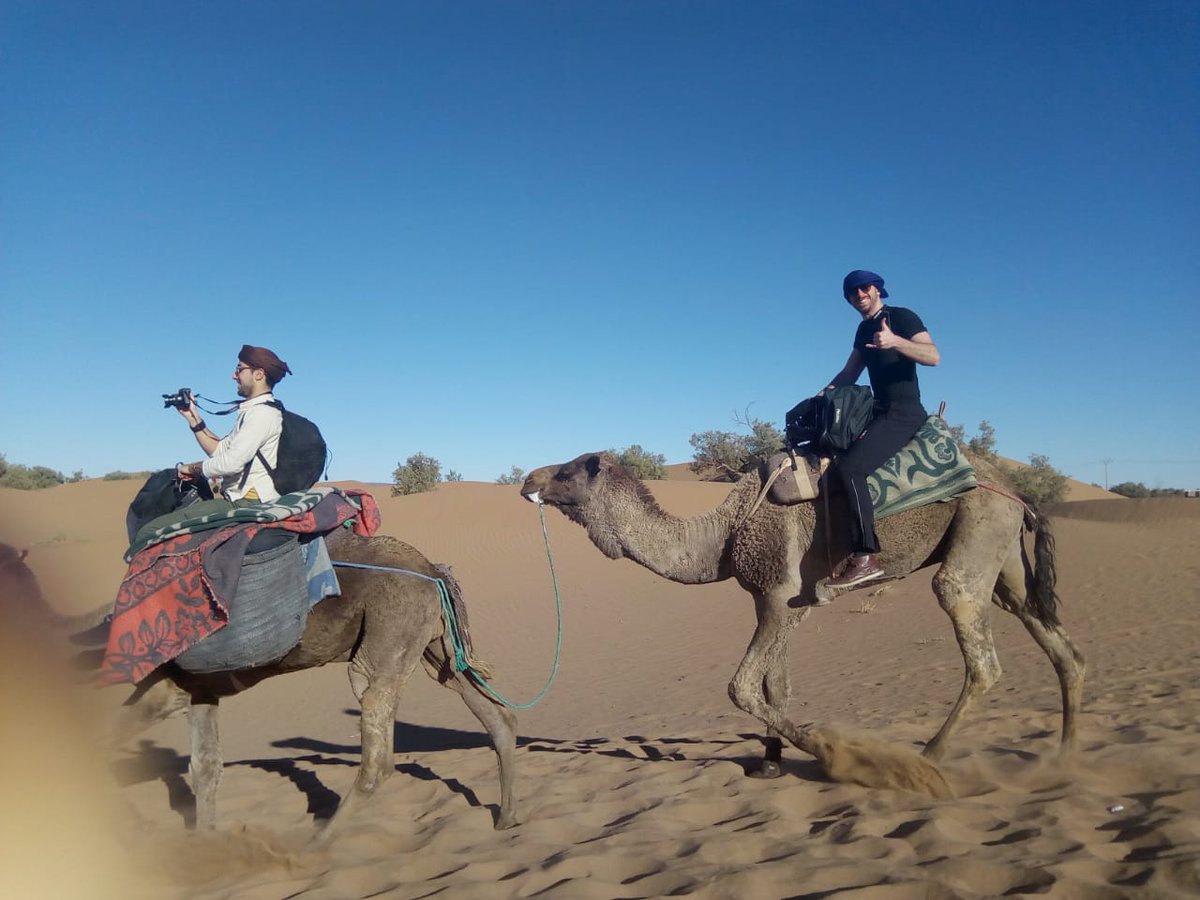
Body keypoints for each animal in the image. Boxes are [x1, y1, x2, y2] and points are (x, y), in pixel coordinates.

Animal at [94, 530, 520, 835]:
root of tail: (432, 569)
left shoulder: (168, 682)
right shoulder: (198, 688)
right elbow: (205, 768)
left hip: (389, 635)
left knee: (377, 753)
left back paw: (314, 848)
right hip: (436, 644)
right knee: (493, 713)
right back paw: (506, 817)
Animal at [521, 450, 1085, 792]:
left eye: (568, 471)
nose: (528, 478)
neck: (724, 531)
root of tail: (1016, 490)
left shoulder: (786, 597)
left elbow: (741, 687)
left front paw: (827, 751)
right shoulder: (768, 600)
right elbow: (776, 686)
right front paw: (770, 760)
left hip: (979, 524)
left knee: (974, 638)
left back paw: (928, 756)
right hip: (1004, 553)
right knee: (1056, 641)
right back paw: (1064, 755)